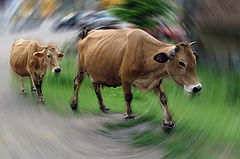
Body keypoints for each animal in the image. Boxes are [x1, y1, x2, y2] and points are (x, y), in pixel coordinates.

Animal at [70, 28, 202, 129]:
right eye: (181, 63)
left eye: (194, 59)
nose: (197, 87)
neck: (146, 55)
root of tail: (89, 32)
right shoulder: (125, 78)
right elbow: (128, 97)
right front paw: (129, 115)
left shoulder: (156, 81)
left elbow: (163, 98)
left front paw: (168, 121)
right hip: (82, 67)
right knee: (77, 81)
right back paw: (74, 105)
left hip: (94, 71)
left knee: (96, 87)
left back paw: (103, 106)